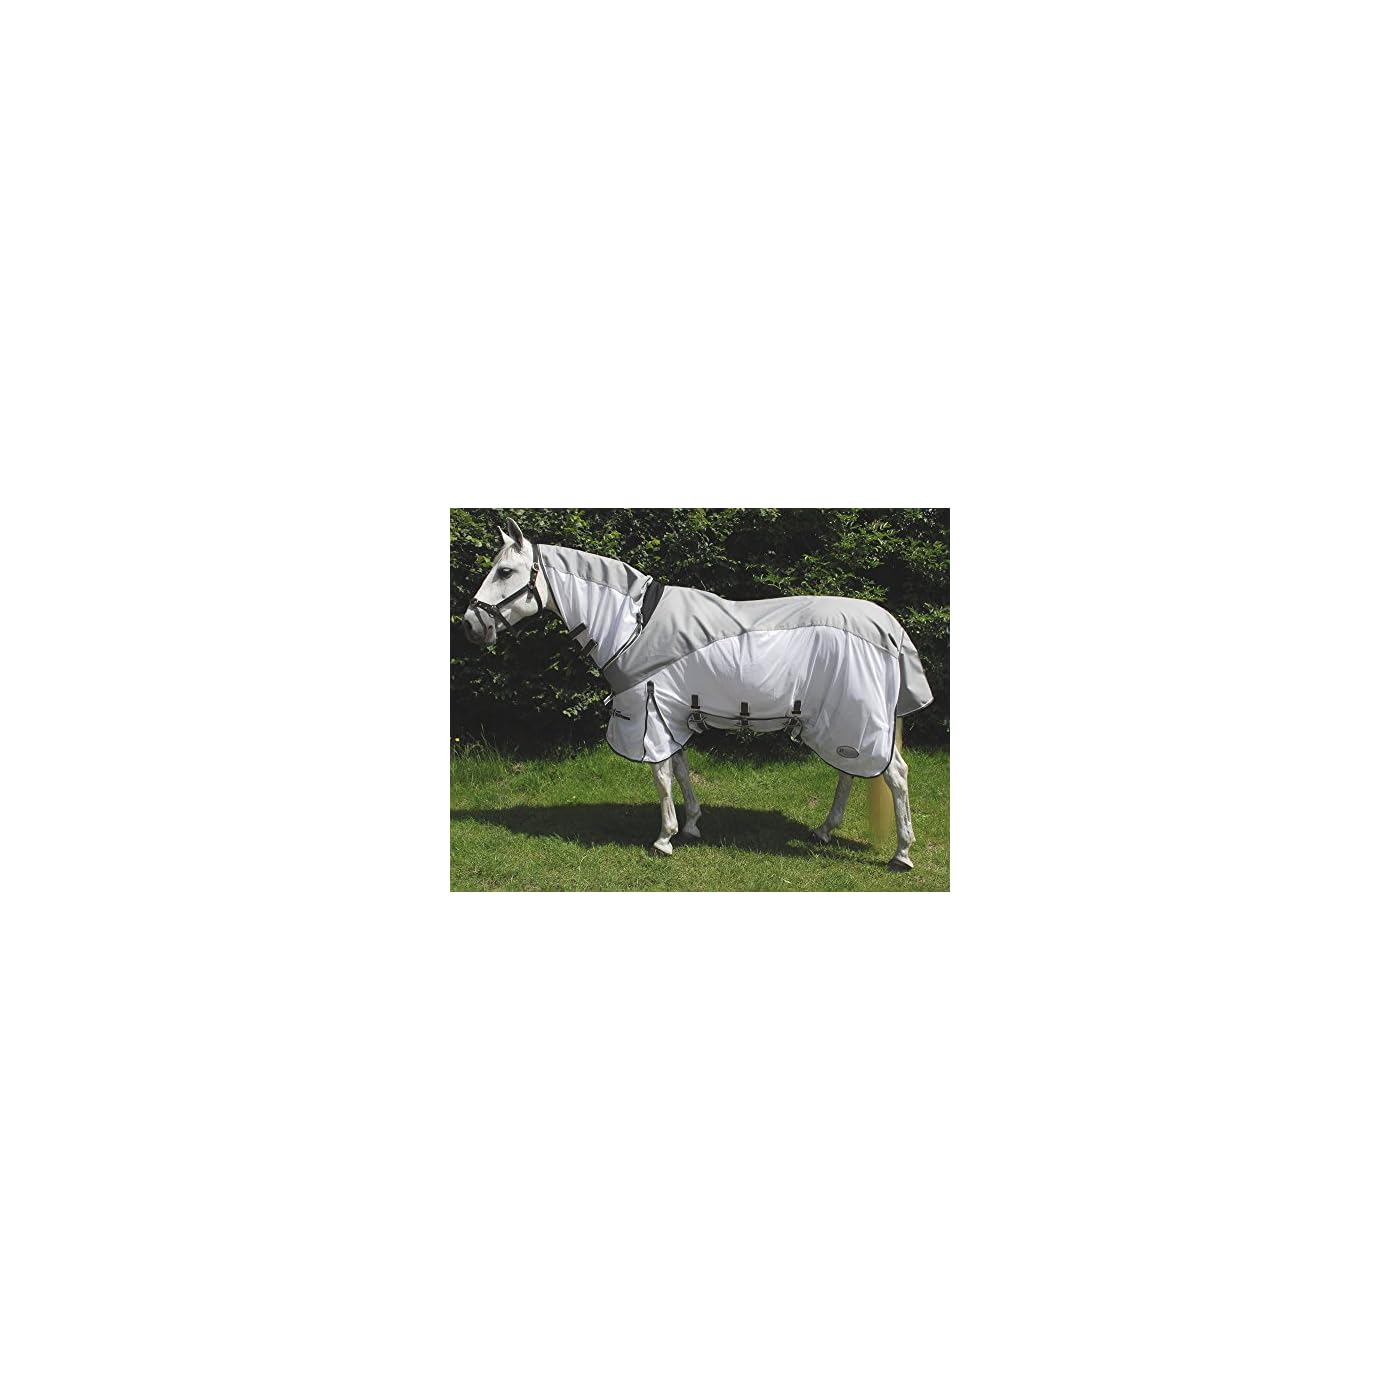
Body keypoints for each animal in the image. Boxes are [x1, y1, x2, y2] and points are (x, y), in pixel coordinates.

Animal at [460, 519, 934, 871]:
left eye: (505, 572)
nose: (469, 625)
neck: (633, 625)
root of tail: (891, 628)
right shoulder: (671, 712)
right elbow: (681, 770)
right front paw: (690, 826)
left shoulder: (650, 712)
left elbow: (662, 776)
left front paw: (664, 839)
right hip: (843, 721)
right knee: (850, 772)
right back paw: (824, 831)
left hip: (855, 719)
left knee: (894, 775)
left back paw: (901, 854)